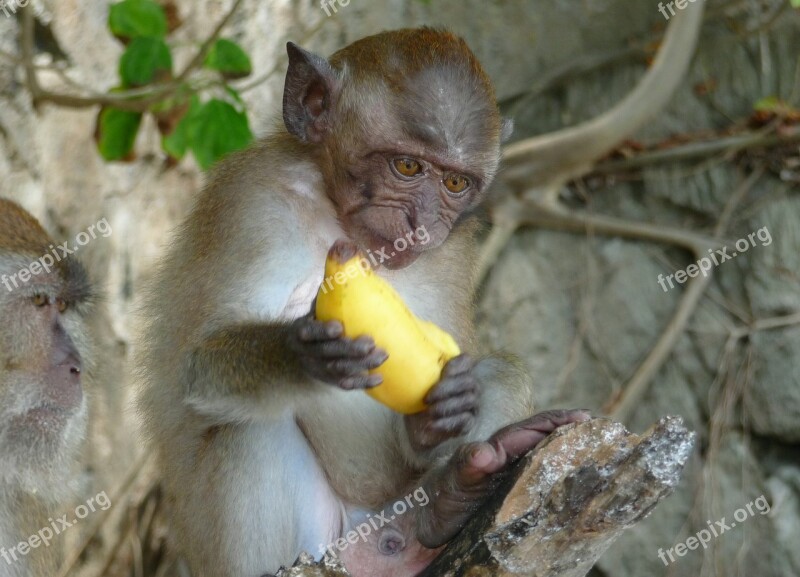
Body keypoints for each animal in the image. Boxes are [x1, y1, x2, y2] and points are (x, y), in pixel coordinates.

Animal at [139, 28, 588, 576]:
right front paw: (304, 355)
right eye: (407, 166)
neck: (341, 222)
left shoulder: (454, 249)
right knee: (248, 429)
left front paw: (436, 416)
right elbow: (200, 365)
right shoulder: (253, 202)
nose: (423, 224)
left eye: (454, 182)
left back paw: (443, 504)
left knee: (502, 370)